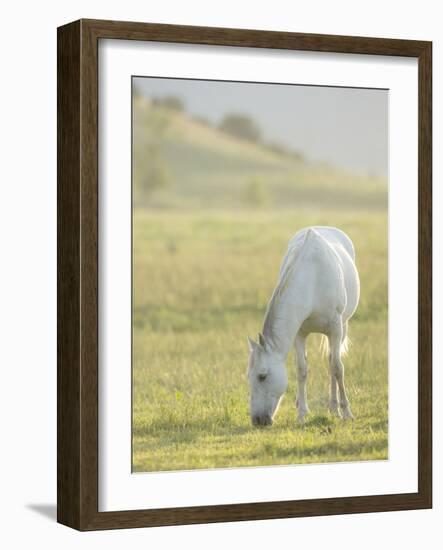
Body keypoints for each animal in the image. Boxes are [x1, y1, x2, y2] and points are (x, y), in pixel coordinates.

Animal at [248, 227, 360, 426]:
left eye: (262, 376)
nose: (257, 420)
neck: (312, 278)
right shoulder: (299, 333)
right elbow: (302, 370)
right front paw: (301, 414)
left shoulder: (335, 328)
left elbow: (337, 368)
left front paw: (346, 411)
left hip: (342, 327)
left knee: (333, 362)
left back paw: (335, 407)